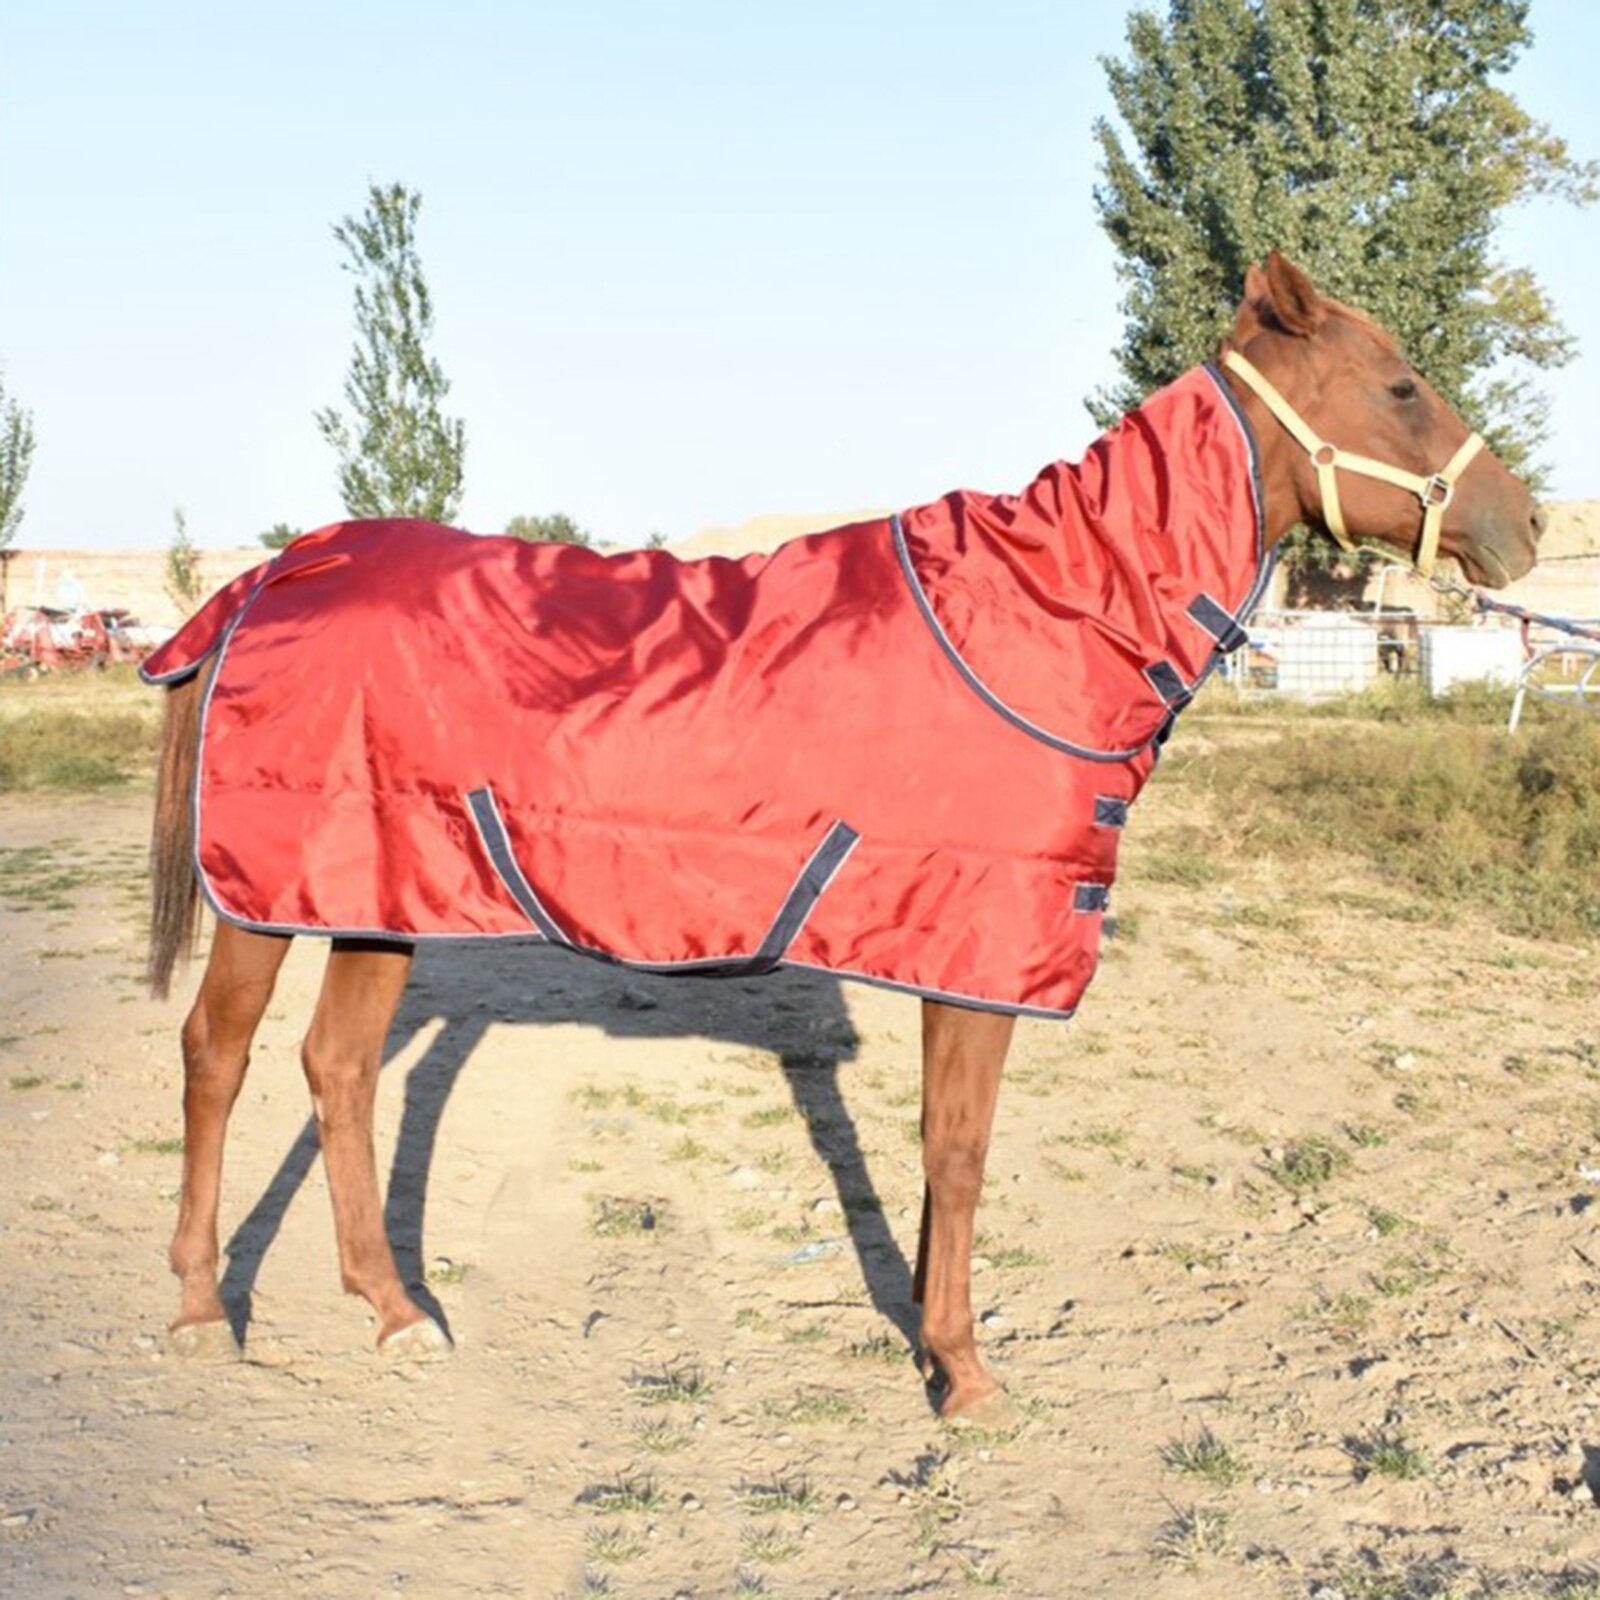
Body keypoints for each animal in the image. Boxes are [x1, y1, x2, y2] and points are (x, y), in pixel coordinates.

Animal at [145, 253, 1542, 1425]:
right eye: (1400, 385)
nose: (1525, 527)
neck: (1038, 616)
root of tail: (275, 574)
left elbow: (938, 1153)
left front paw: (932, 1337)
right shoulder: (975, 947)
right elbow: (958, 1151)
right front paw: (963, 1374)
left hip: (372, 888)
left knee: (337, 1068)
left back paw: (393, 1311)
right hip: (271, 892)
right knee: (217, 1057)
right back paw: (205, 1310)